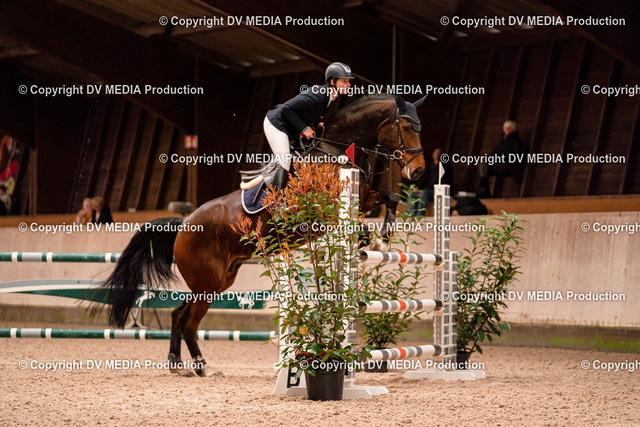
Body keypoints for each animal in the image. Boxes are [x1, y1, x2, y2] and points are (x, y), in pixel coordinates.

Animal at [93, 94, 426, 377]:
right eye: (406, 127)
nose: (419, 172)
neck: (335, 151)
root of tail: (185, 222)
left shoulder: (365, 198)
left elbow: (389, 198)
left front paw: (386, 233)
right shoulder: (322, 212)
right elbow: (361, 224)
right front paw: (373, 238)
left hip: (219, 280)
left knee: (179, 314)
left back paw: (180, 363)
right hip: (208, 281)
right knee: (188, 320)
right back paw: (198, 364)